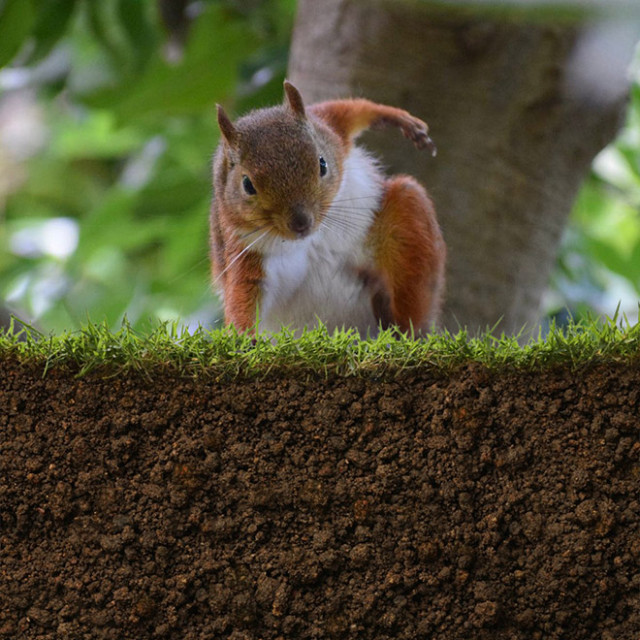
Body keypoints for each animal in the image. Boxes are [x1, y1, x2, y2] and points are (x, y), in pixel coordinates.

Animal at [210, 80, 444, 336]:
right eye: (247, 185)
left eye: (322, 164)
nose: (301, 223)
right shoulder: (244, 250)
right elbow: (244, 294)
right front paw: (243, 337)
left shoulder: (328, 126)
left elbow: (349, 110)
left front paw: (399, 118)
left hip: (407, 220)